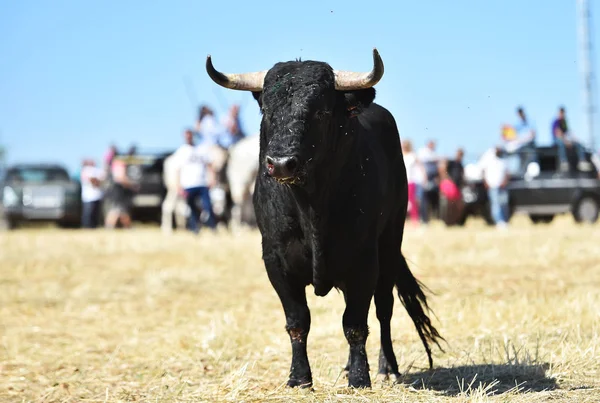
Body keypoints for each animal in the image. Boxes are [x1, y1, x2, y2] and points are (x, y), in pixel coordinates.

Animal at [207, 49, 446, 390]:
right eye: (266, 109)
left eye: (320, 112)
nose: (281, 163)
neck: (310, 207)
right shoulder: (276, 262)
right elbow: (298, 321)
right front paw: (299, 378)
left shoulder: (363, 262)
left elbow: (355, 323)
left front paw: (360, 377)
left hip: (389, 243)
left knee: (384, 308)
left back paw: (386, 367)